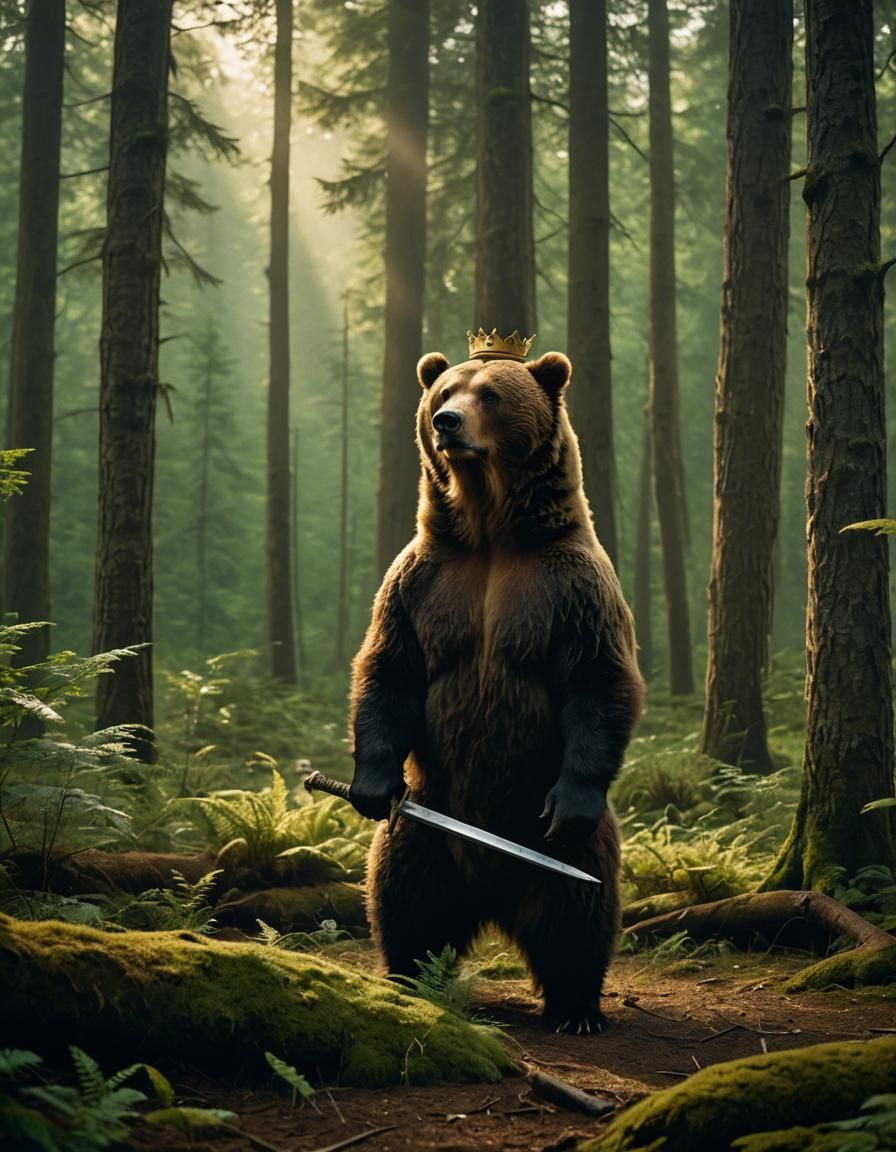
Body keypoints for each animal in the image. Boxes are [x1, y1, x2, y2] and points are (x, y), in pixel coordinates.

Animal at [347, 348, 644, 1032]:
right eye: (445, 391)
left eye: (492, 394)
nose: (447, 423)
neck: (488, 530)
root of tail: (491, 895)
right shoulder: (421, 579)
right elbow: (391, 668)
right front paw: (369, 783)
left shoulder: (571, 587)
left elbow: (597, 679)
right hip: (429, 820)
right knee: (402, 894)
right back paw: (405, 975)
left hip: (546, 838)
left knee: (576, 906)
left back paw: (576, 1005)